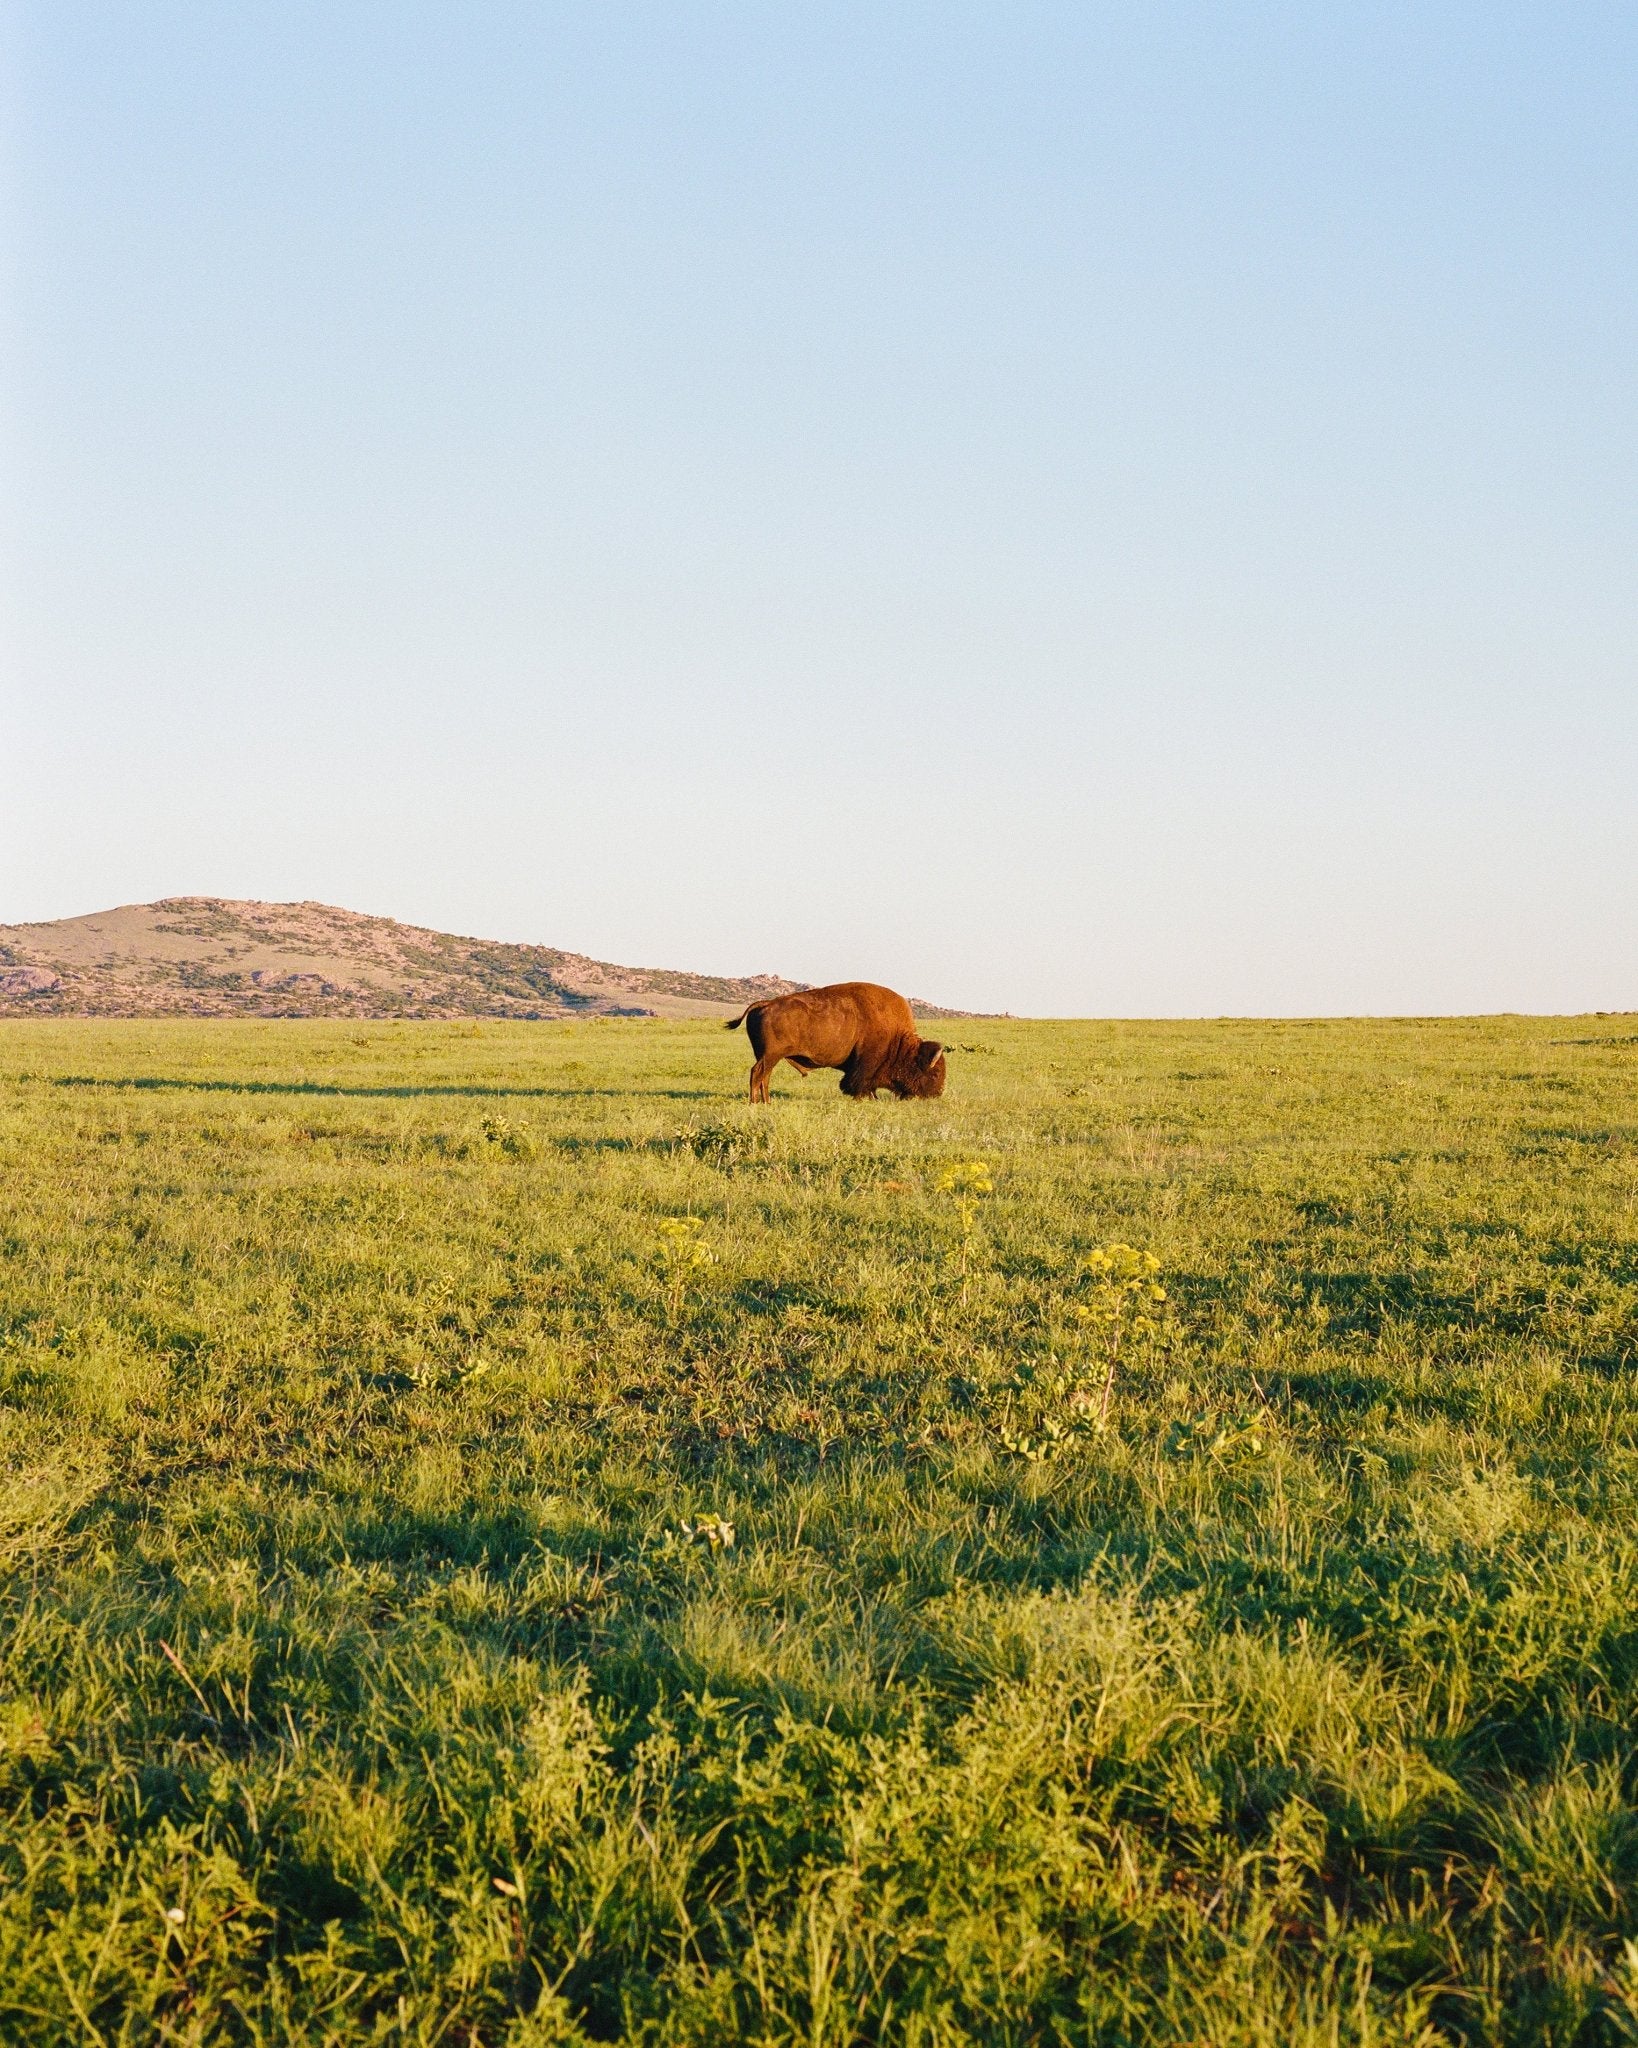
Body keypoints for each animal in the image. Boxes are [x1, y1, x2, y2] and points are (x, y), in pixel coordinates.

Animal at [726, 982, 946, 1104]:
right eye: (935, 1073)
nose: (937, 1093)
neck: (899, 1041)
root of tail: (765, 1003)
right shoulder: (866, 1064)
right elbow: (860, 1083)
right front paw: (864, 1099)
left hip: (769, 1056)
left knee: (765, 1076)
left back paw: (767, 1102)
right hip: (770, 1055)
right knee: (757, 1073)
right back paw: (754, 1103)